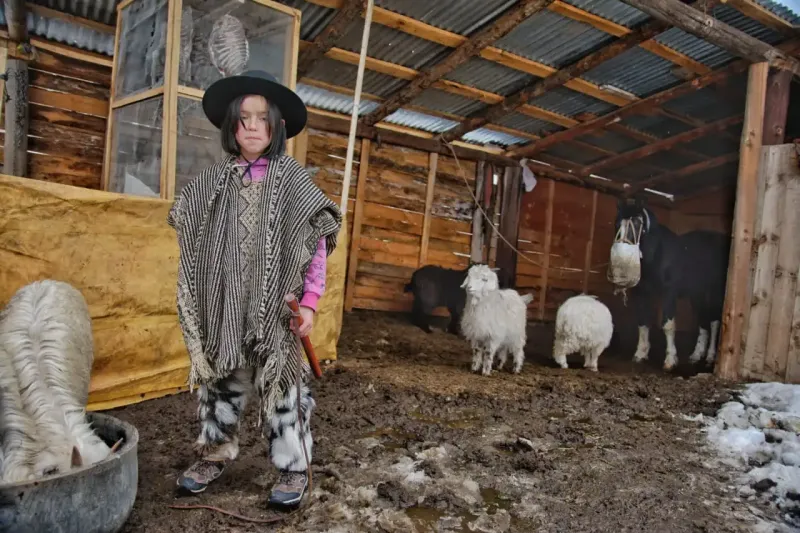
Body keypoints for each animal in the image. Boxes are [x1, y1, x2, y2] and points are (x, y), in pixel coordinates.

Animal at [608, 197, 732, 372]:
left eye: (638, 223)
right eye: (617, 223)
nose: (622, 256)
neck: (657, 255)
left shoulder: (669, 293)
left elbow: (668, 325)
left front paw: (670, 360)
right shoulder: (641, 293)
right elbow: (643, 322)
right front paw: (640, 354)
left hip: (715, 292)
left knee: (714, 322)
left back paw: (710, 357)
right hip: (697, 295)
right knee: (703, 321)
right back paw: (696, 355)